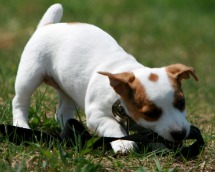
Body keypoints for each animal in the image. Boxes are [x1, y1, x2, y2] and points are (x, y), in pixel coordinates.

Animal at [13, 3, 198, 153]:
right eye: (151, 113)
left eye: (181, 103)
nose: (180, 133)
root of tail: (48, 26)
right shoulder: (97, 116)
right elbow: (113, 126)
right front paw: (124, 143)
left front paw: (158, 144)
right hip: (30, 75)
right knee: (19, 101)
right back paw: (21, 124)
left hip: (68, 87)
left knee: (62, 111)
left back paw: (71, 130)